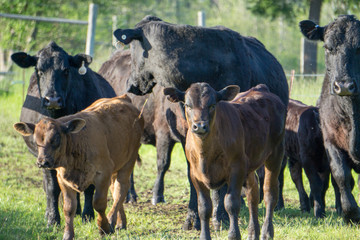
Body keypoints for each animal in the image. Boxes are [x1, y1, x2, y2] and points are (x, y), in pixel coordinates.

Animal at [10, 41, 116, 227]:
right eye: (39, 70)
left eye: (66, 70)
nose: (52, 100)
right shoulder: (45, 157)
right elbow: (52, 187)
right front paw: (53, 219)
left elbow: (89, 187)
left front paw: (87, 215)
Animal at [13, 94, 144, 239]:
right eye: (36, 140)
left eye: (56, 138)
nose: (42, 162)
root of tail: (123, 98)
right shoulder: (63, 178)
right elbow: (69, 208)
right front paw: (68, 234)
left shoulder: (103, 173)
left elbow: (99, 203)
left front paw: (104, 227)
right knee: (115, 190)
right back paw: (120, 223)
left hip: (129, 161)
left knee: (121, 190)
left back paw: (111, 220)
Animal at [165, 82, 286, 240]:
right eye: (187, 105)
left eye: (212, 105)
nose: (200, 126)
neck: (205, 154)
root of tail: (261, 88)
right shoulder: (195, 175)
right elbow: (204, 207)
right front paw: (205, 236)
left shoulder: (237, 169)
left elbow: (231, 203)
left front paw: (234, 235)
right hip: (249, 165)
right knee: (253, 193)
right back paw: (253, 232)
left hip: (276, 153)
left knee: (269, 193)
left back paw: (267, 232)